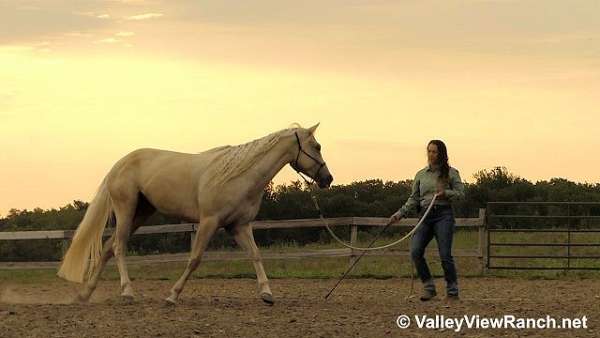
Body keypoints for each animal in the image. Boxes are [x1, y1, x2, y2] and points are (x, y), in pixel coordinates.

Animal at [56, 123, 332, 304]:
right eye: (316, 146)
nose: (328, 179)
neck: (239, 176)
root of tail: (119, 164)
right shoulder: (209, 222)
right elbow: (195, 259)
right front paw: (172, 296)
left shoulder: (239, 226)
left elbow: (255, 255)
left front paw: (267, 294)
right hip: (126, 210)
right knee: (119, 247)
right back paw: (127, 292)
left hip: (141, 214)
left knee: (108, 248)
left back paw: (85, 294)